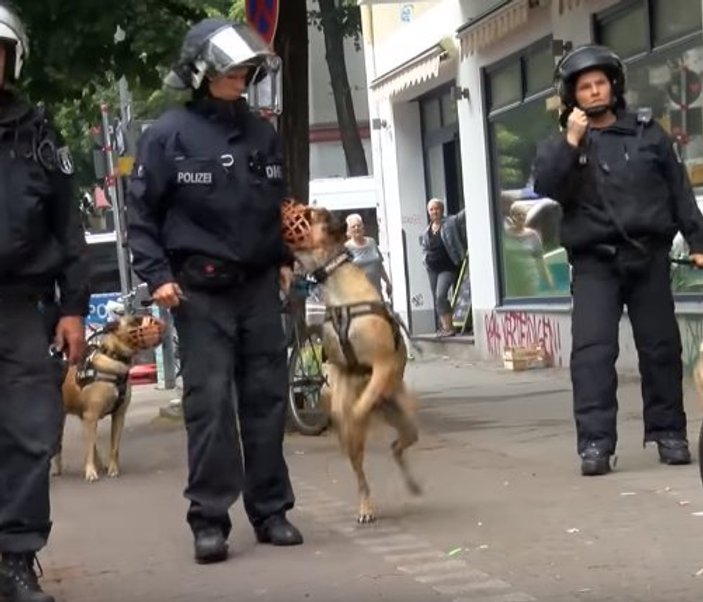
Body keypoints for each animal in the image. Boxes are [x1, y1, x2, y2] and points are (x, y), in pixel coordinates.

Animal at [52, 312, 165, 480]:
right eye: (135, 321)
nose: (153, 318)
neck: (114, 356)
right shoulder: (91, 416)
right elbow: (89, 448)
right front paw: (90, 472)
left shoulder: (118, 415)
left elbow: (114, 446)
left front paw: (113, 468)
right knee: (64, 445)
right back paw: (58, 469)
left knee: (92, 444)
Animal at [282, 202, 420, 520]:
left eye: (310, 214)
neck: (337, 288)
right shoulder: (340, 368)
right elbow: (342, 405)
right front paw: (343, 415)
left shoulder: (382, 366)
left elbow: (360, 405)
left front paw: (356, 412)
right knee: (364, 469)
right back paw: (366, 505)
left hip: (409, 421)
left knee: (397, 445)